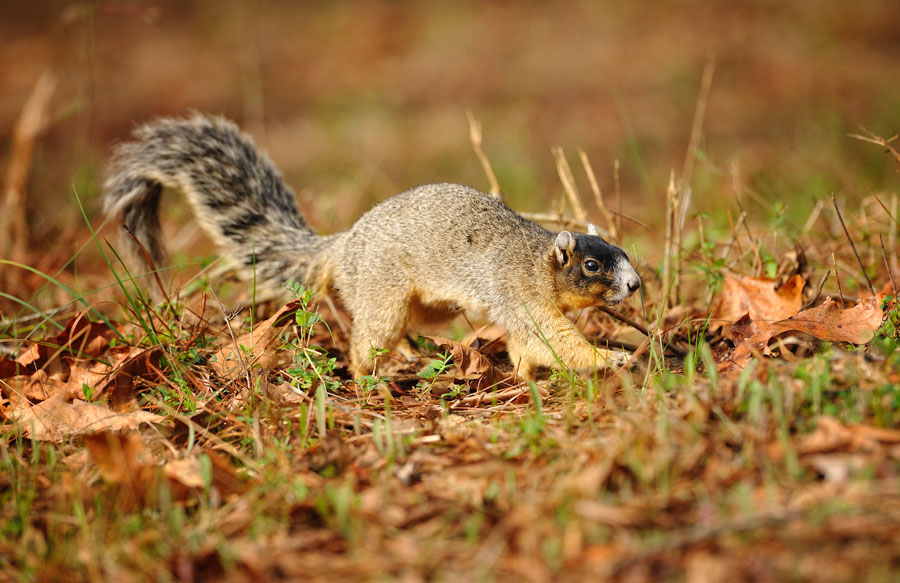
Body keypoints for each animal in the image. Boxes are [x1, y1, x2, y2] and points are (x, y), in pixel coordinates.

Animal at [103, 113, 640, 378]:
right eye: (593, 266)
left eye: (623, 254)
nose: (635, 284)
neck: (538, 262)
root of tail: (341, 246)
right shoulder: (521, 296)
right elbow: (550, 340)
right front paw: (610, 360)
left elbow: (526, 348)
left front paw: (526, 377)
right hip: (382, 289)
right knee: (369, 337)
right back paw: (368, 376)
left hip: (424, 304)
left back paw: (410, 356)